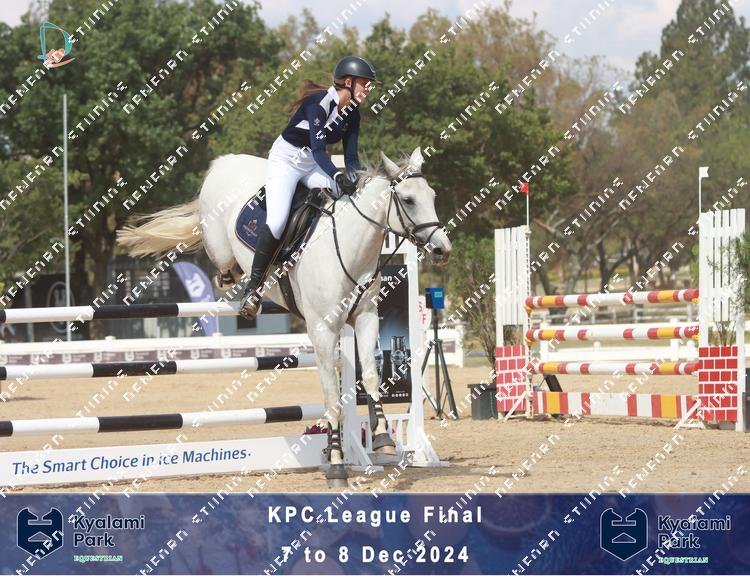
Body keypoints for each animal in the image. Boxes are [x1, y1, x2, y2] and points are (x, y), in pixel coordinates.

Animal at [116, 146, 452, 485]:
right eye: (408, 200)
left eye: (433, 196)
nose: (442, 250)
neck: (350, 247)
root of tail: (224, 162)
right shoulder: (323, 330)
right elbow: (332, 400)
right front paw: (336, 465)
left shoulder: (366, 317)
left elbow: (370, 377)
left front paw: (382, 438)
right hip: (220, 245)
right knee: (224, 266)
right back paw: (243, 289)